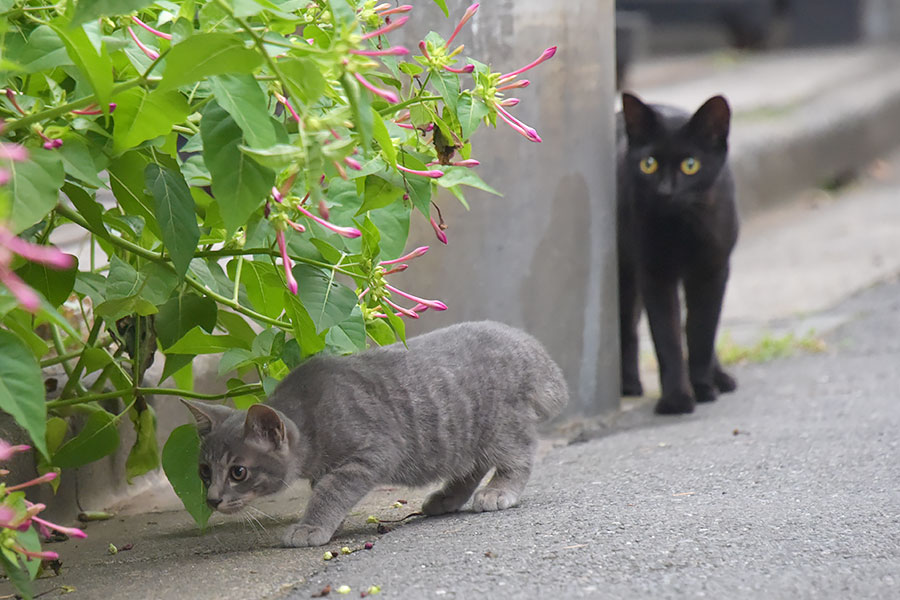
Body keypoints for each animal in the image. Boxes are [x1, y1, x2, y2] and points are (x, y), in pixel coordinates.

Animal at [181, 322, 568, 548]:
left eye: (238, 472)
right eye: (204, 471)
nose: (212, 499)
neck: (310, 414)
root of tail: (529, 347)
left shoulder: (372, 453)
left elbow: (330, 491)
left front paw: (310, 527)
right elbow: (325, 489)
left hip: (499, 424)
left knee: (519, 455)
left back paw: (499, 491)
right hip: (461, 436)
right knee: (471, 467)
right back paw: (446, 498)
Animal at [620, 92, 740, 412]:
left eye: (690, 165)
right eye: (648, 164)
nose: (665, 191)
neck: (682, 228)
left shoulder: (713, 271)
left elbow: (701, 331)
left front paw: (703, 387)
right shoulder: (655, 273)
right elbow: (667, 336)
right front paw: (676, 399)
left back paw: (720, 377)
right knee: (628, 327)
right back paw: (629, 383)